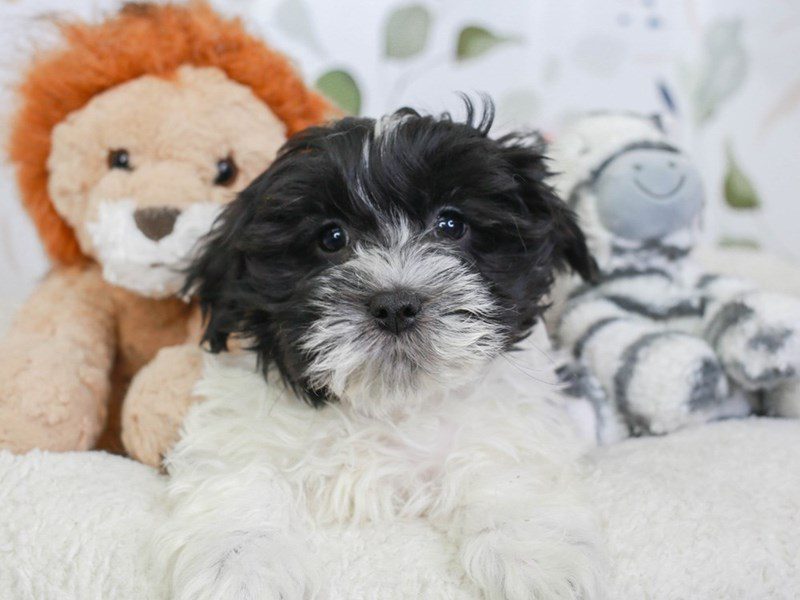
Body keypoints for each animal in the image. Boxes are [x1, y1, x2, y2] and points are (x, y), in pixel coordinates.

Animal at [159, 103, 604, 600]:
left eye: (451, 225)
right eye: (331, 238)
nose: (395, 305)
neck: (387, 407)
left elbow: (505, 468)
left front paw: (535, 555)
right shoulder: (242, 430)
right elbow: (241, 476)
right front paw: (241, 568)